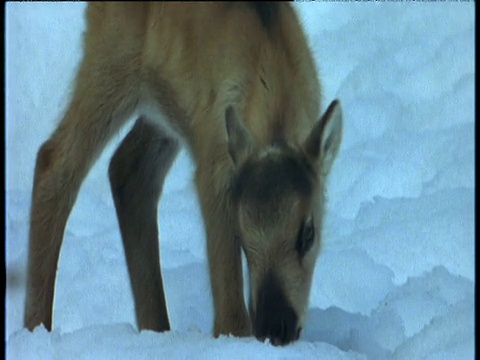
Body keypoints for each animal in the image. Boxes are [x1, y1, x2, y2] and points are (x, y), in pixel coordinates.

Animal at [24, 2, 344, 346]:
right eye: (241, 235)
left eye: (308, 233)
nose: (275, 328)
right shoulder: (212, 168)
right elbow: (230, 314)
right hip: (111, 59)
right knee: (55, 162)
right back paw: (35, 329)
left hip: (160, 110)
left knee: (128, 169)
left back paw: (156, 329)